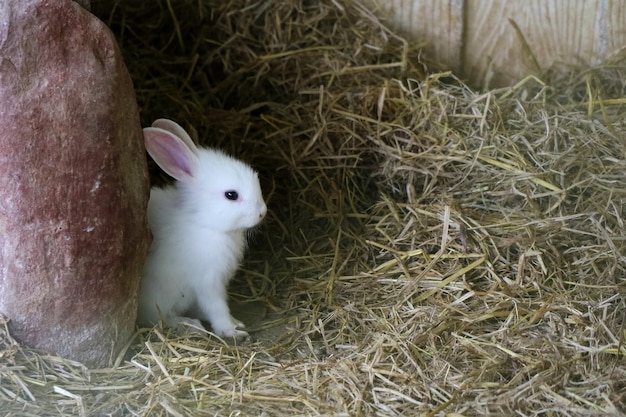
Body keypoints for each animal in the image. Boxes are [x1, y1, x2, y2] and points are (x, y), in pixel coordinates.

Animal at [136, 118, 266, 338]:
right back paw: (189, 324)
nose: (262, 212)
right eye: (231, 195)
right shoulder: (208, 282)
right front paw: (232, 329)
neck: (202, 222)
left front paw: (235, 323)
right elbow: (216, 307)